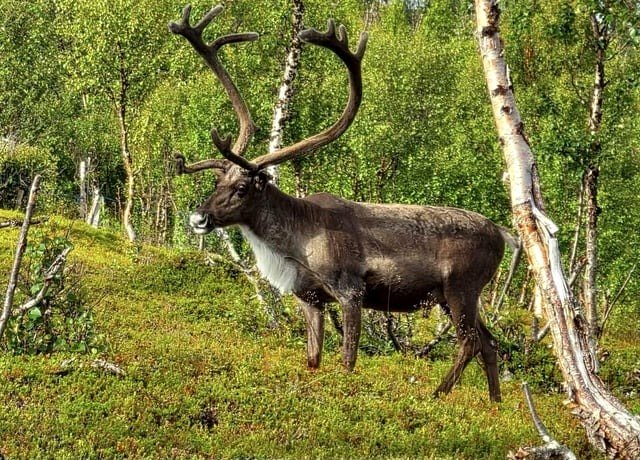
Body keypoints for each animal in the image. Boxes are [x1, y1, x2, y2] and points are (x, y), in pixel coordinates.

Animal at [170, 4, 518, 402]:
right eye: (217, 181)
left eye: (243, 187)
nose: (199, 217)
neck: (296, 243)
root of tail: (503, 234)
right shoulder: (310, 298)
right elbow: (313, 359)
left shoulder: (352, 291)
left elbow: (348, 360)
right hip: (455, 297)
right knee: (490, 343)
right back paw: (495, 404)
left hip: (461, 288)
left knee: (470, 342)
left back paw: (436, 394)